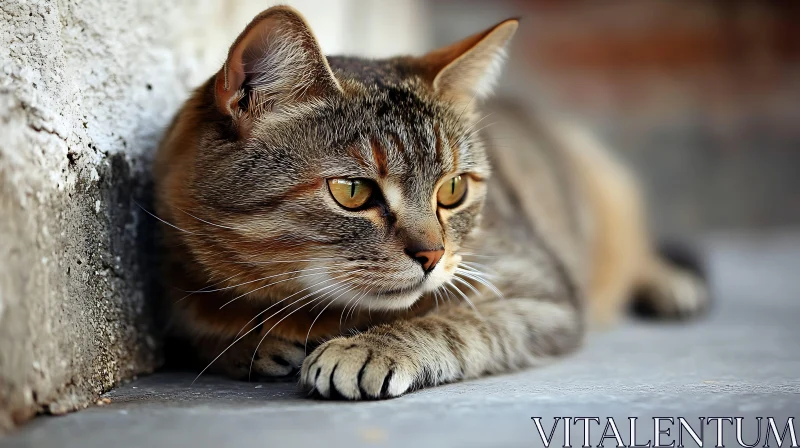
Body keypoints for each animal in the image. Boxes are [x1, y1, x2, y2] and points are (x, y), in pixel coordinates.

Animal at [153, 6, 708, 400]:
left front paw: (371, 346)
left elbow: (458, 324)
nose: (433, 255)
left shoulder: (541, 294)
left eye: (453, 190)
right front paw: (252, 340)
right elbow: (201, 328)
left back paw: (670, 283)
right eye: (352, 192)